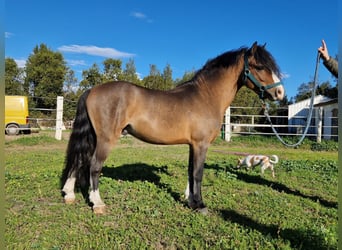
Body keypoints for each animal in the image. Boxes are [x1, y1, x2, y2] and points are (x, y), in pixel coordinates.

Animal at [62, 42, 286, 214]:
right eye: (259, 66)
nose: (280, 93)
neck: (206, 96)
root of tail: (92, 90)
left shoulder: (192, 145)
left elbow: (190, 171)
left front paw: (189, 199)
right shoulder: (201, 144)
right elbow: (198, 174)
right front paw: (200, 205)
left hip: (93, 136)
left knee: (79, 159)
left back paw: (69, 194)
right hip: (106, 139)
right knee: (94, 165)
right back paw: (98, 204)